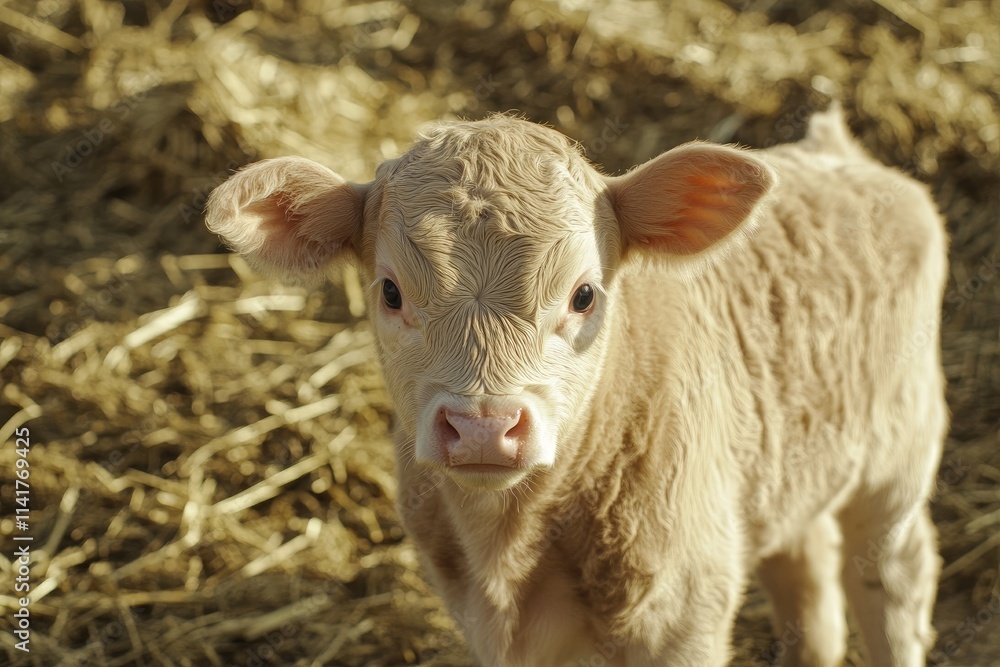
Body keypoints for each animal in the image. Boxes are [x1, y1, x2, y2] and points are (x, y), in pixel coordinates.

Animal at [205, 105, 948, 666]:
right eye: (390, 291)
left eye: (584, 294)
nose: (483, 426)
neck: (507, 549)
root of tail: (836, 151)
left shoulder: (683, 615)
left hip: (899, 457)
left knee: (893, 577)